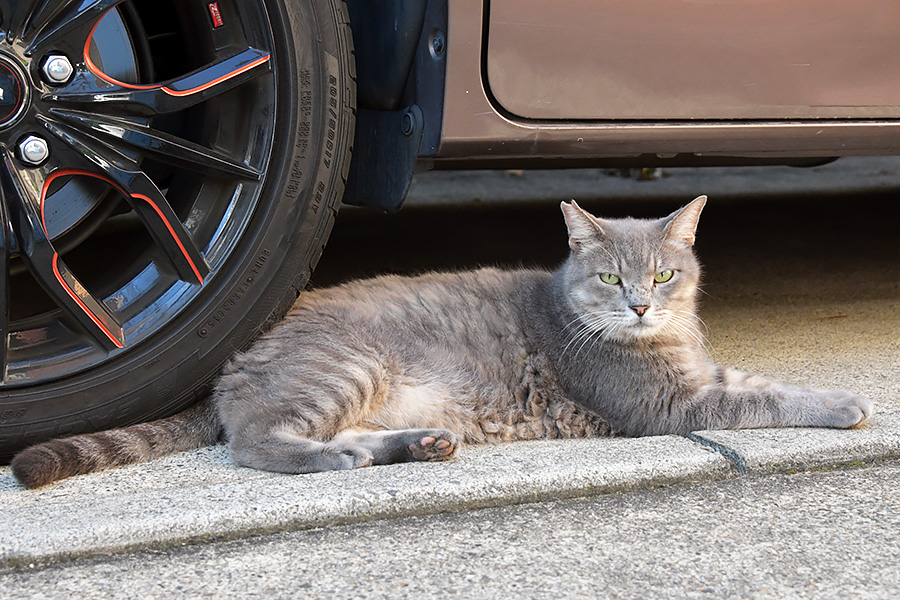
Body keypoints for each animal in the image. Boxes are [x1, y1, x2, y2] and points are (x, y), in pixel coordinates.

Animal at [12, 197, 872, 488]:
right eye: (609, 278)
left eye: (664, 275)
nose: (636, 307)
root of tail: (235, 361)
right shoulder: (668, 404)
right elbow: (765, 399)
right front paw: (848, 403)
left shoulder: (698, 375)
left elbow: (760, 379)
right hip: (346, 368)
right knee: (256, 443)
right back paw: (342, 458)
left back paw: (417, 444)